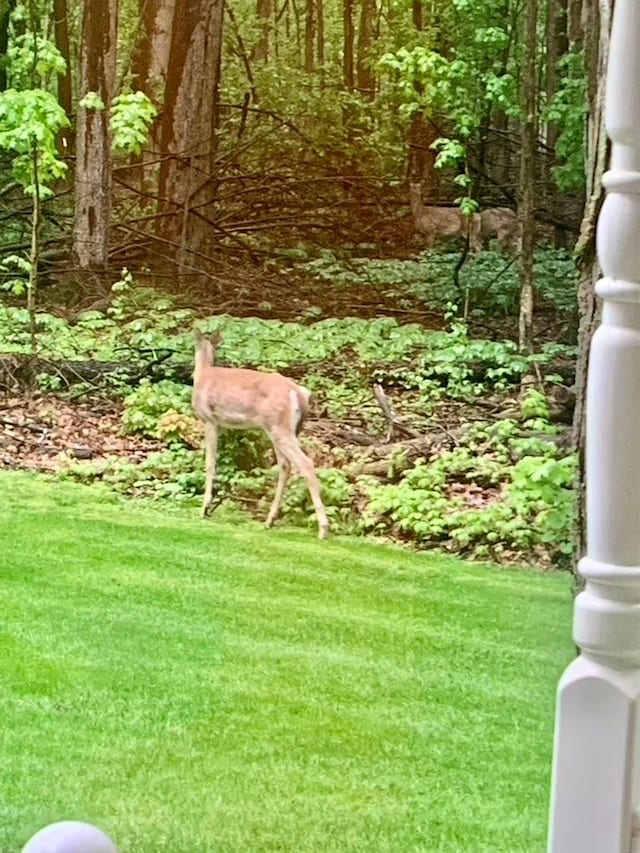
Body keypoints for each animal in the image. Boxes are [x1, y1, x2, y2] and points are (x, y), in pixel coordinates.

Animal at [190, 328, 330, 536]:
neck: (203, 373)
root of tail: (298, 392)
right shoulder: (222, 425)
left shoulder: (209, 420)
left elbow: (210, 463)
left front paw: (205, 508)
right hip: (284, 429)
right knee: (286, 465)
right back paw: (270, 520)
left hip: (280, 427)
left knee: (305, 463)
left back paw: (323, 529)